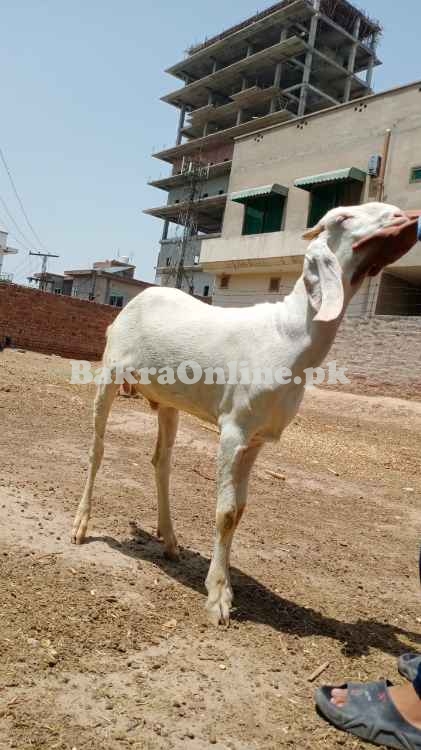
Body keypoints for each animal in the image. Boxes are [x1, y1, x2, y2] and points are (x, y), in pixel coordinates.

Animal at [71, 203, 410, 624]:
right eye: (342, 219)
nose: (403, 216)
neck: (287, 335)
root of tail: (135, 301)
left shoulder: (258, 438)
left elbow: (242, 510)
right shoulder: (234, 429)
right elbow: (226, 512)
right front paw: (219, 595)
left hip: (168, 401)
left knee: (161, 461)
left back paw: (170, 540)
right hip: (109, 372)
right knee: (97, 449)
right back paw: (82, 526)